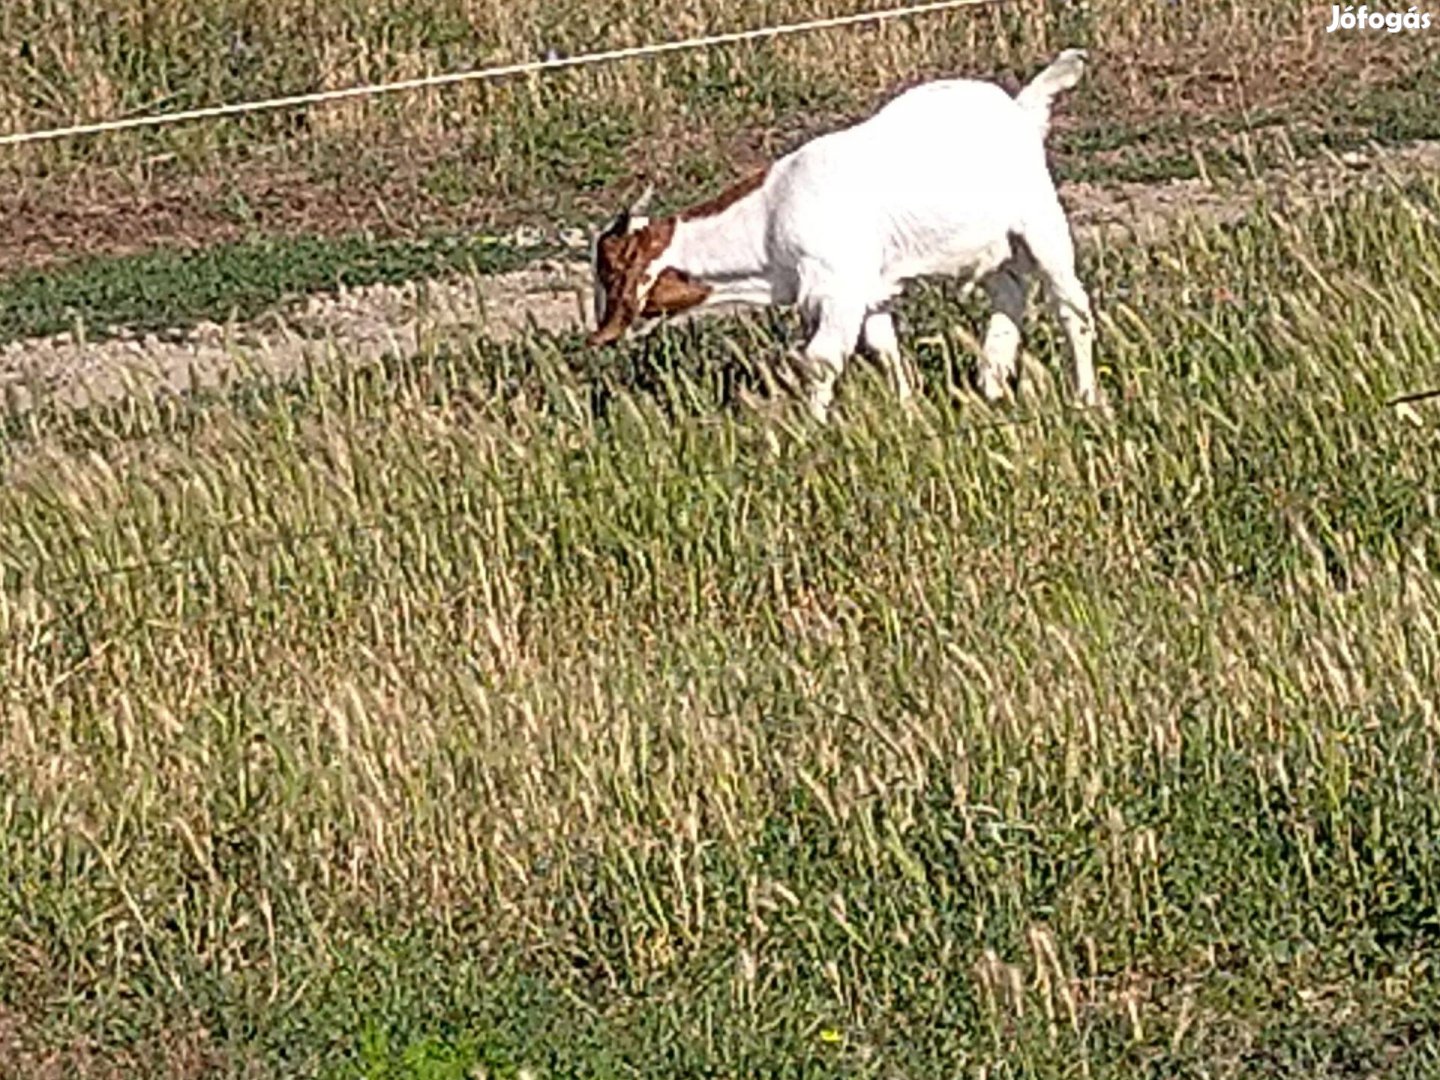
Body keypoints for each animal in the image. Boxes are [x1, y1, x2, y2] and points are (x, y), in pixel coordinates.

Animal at [584, 50, 1088, 423]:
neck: (771, 219)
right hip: (989, 248)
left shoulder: (839, 290)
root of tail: (1020, 110)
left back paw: (1085, 397)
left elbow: (822, 358)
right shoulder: (868, 289)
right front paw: (907, 409)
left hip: (1041, 221)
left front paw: (814, 430)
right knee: (1010, 296)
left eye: (608, 269)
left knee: (1072, 306)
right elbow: (884, 346)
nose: (599, 332)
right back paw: (992, 384)